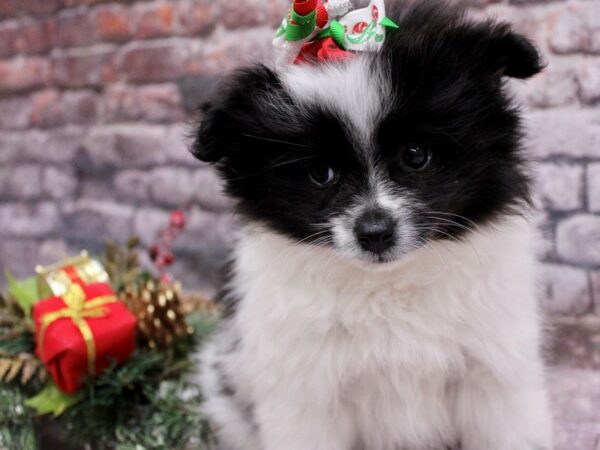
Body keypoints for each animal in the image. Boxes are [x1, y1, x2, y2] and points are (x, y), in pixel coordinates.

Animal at [191, 1, 552, 448]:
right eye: (321, 174)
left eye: (416, 154)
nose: (375, 232)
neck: (388, 286)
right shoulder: (308, 395)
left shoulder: (493, 374)